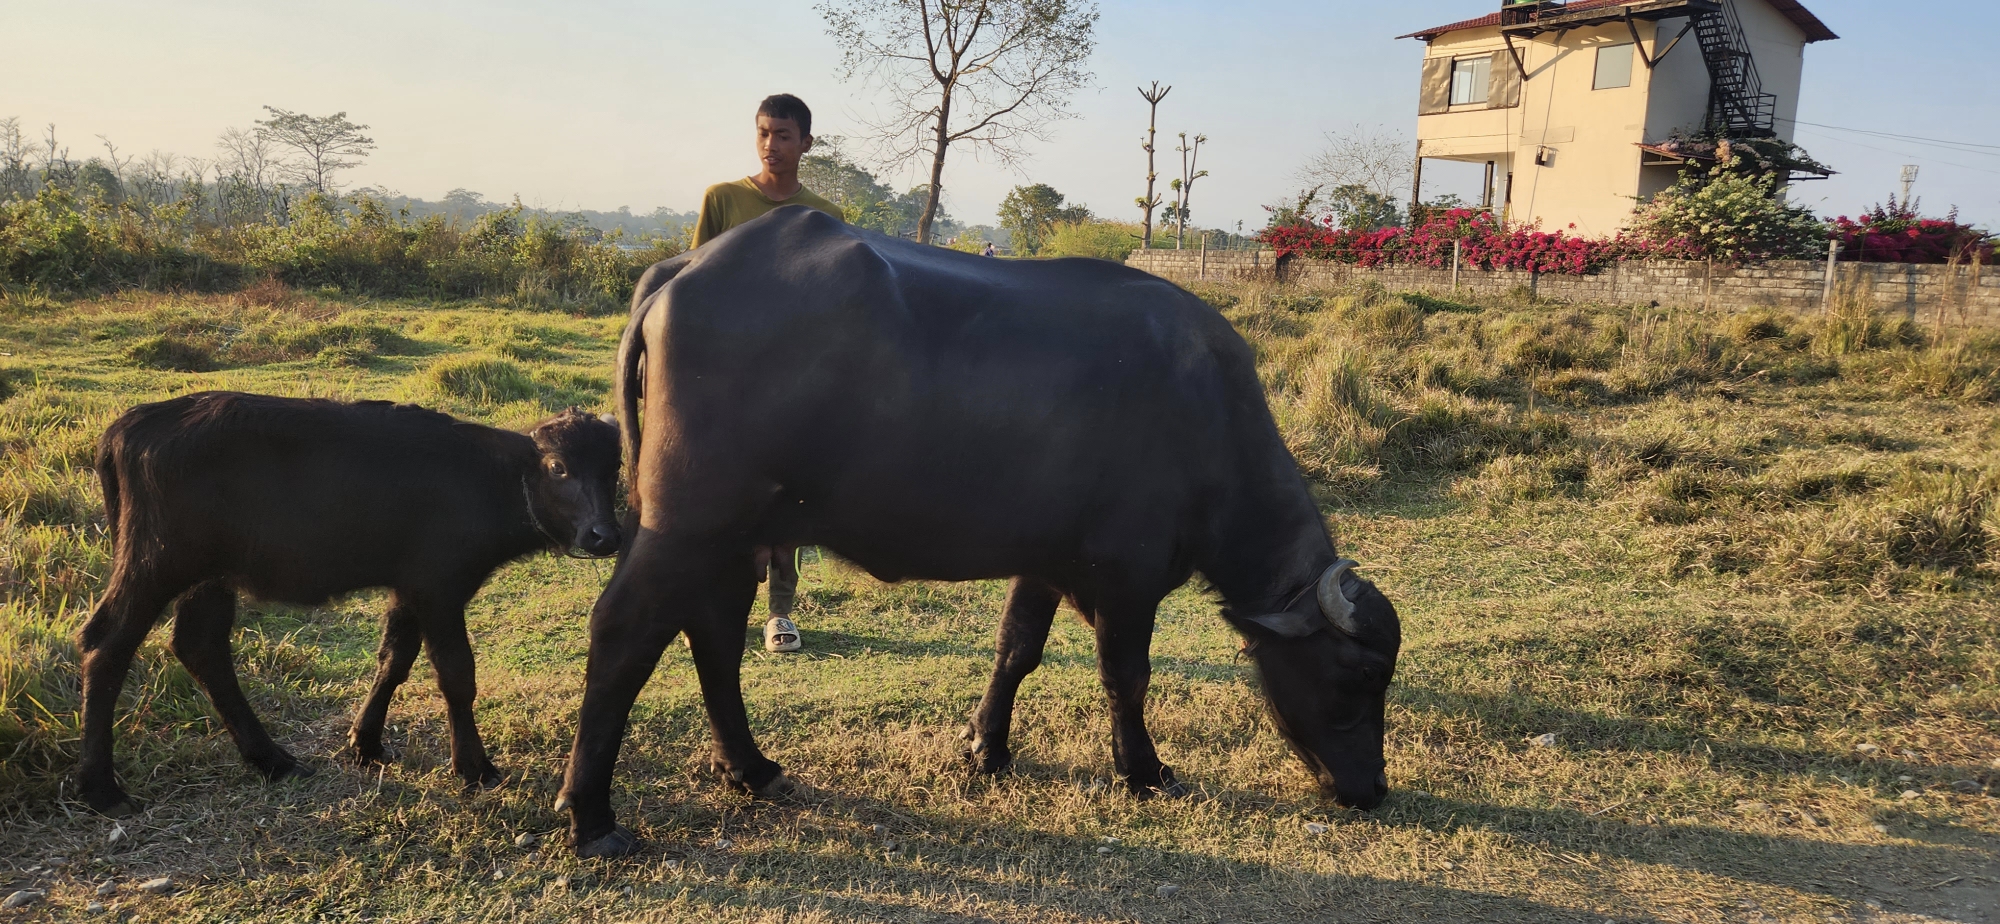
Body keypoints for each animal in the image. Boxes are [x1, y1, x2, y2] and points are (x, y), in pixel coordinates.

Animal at [74, 390, 616, 816]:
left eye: (614, 469)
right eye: (558, 468)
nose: (603, 535)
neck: (490, 480)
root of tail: (129, 427)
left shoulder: (409, 587)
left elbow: (394, 661)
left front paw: (366, 742)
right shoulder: (440, 589)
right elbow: (457, 675)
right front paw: (474, 765)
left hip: (209, 577)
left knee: (201, 646)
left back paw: (272, 760)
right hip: (155, 563)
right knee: (108, 644)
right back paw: (101, 789)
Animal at [560, 206, 1408, 856]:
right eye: (1361, 675)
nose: (1372, 788)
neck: (1204, 417)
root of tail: (684, 267)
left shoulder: (1047, 561)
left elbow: (1016, 649)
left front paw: (986, 746)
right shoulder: (1128, 579)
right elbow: (1126, 676)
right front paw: (1142, 769)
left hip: (735, 534)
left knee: (712, 630)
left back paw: (750, 767)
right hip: (687, 524)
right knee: (626, 630)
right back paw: (592, 816)